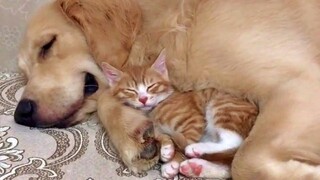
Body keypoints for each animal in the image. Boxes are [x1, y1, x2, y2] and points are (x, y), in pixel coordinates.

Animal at [101, 49, 258, 179]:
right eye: (130, 90)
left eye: (151, 86)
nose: (143, 99)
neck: (156, 108)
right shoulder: (151, 125)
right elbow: (159, 134)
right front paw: (166, 148)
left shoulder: (194, 120)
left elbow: (185, 140)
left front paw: (172, 161)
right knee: (228, 164)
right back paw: (196, 168)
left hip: (223, 107)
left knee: (233, 142)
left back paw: (197, 150)